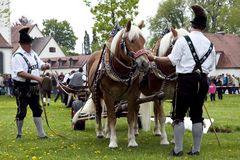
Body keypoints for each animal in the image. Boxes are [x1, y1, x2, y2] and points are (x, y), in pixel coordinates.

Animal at [85, 20, 148, 148]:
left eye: (143, 41)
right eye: (132, 40)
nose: (145, 63)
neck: (120, 69)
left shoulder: (132, 94)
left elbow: (130, 117)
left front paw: (132, 140)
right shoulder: (108, 95)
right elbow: (112, 117)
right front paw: (113, 142)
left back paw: (108, 132)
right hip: (95, 94)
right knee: (99, 111)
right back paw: (100, 133)